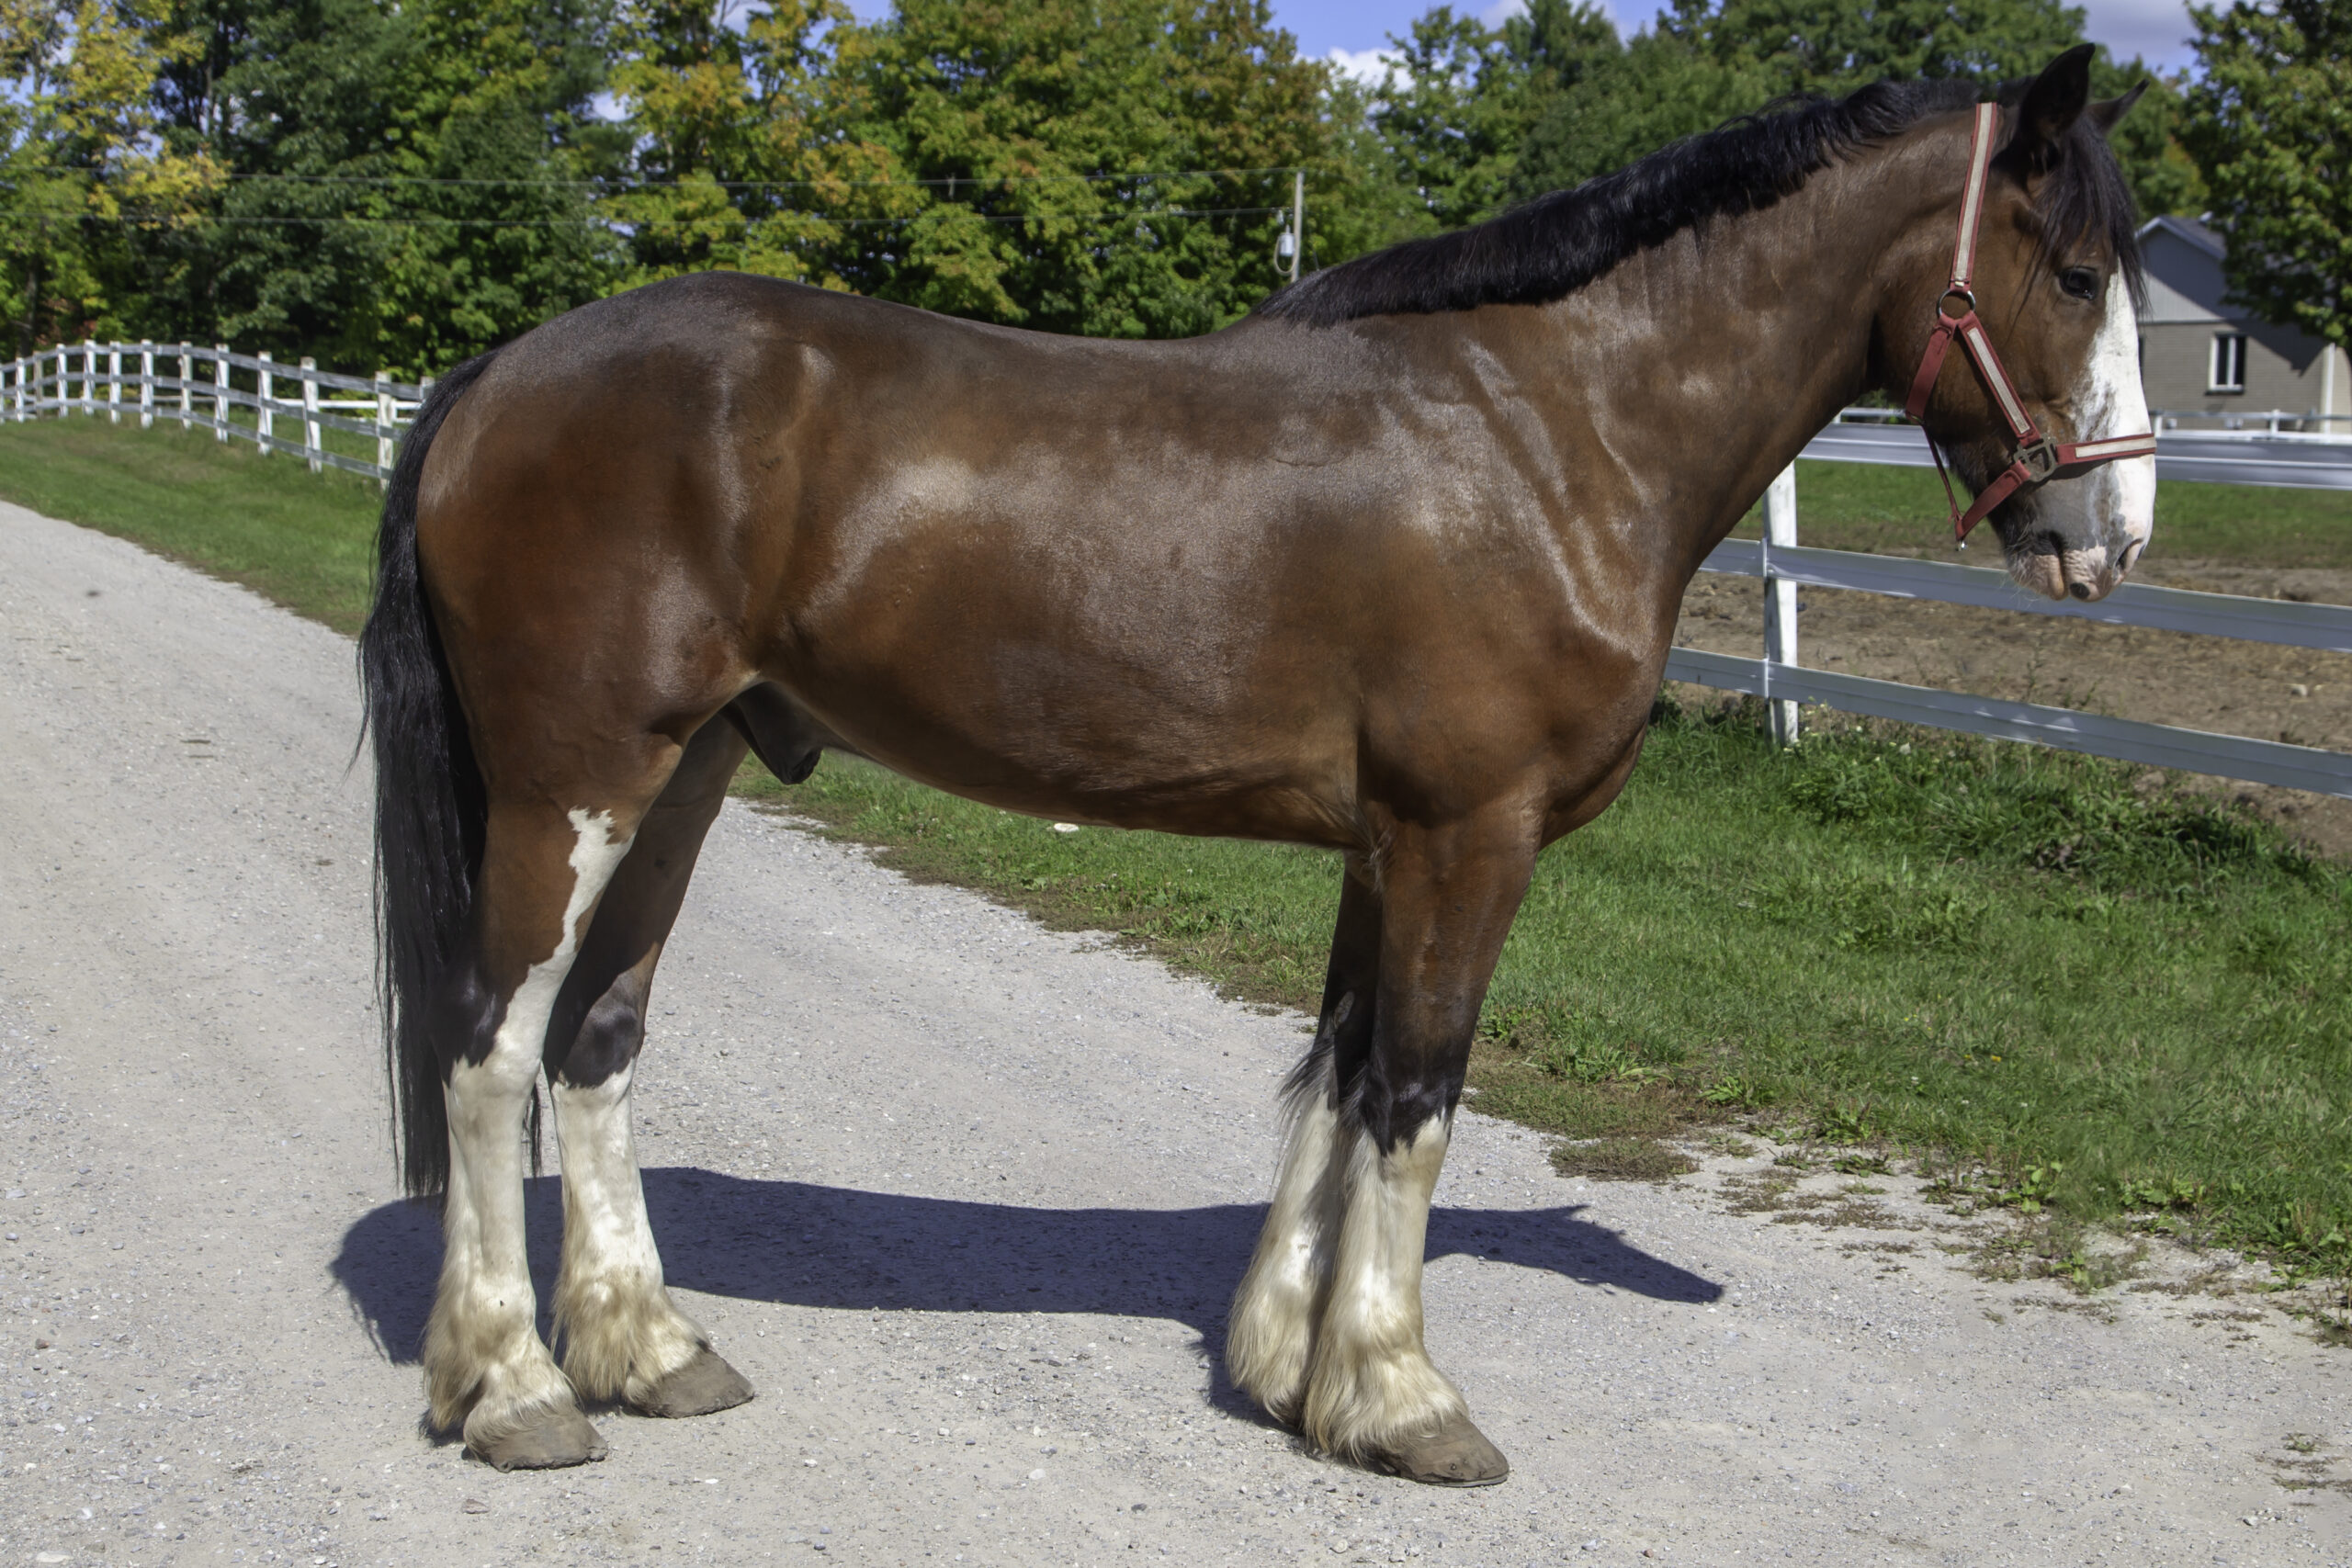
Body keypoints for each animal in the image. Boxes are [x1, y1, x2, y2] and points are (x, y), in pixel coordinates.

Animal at [359, 45, 2152, 1482]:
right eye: (2070, 272)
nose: (2115, 532)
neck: (1551, 430)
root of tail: (494, 375)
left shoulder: (1386, 839)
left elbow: (1339, 1076)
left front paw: (1293, 1368)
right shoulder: (1467, 834)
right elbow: (1417, 1095)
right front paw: (1405, 1398)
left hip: (689, 774)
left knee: (597, 1039)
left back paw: (650, 1350)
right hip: (577, 782)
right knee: (491, 1049)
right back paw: (516, 1387)